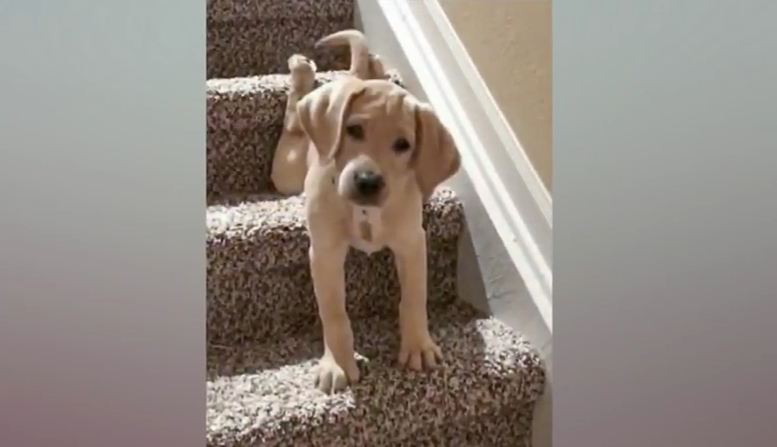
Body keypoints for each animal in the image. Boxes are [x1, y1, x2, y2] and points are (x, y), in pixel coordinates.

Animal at [298, 76, 460, 392]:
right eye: (353, 130)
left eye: (403, 145)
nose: (368, 181)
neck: (365, 212)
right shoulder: (325, 253)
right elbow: (334, 313)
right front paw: (337, 362)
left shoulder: (412, 243)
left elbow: (414, 298)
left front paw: (418, 346)